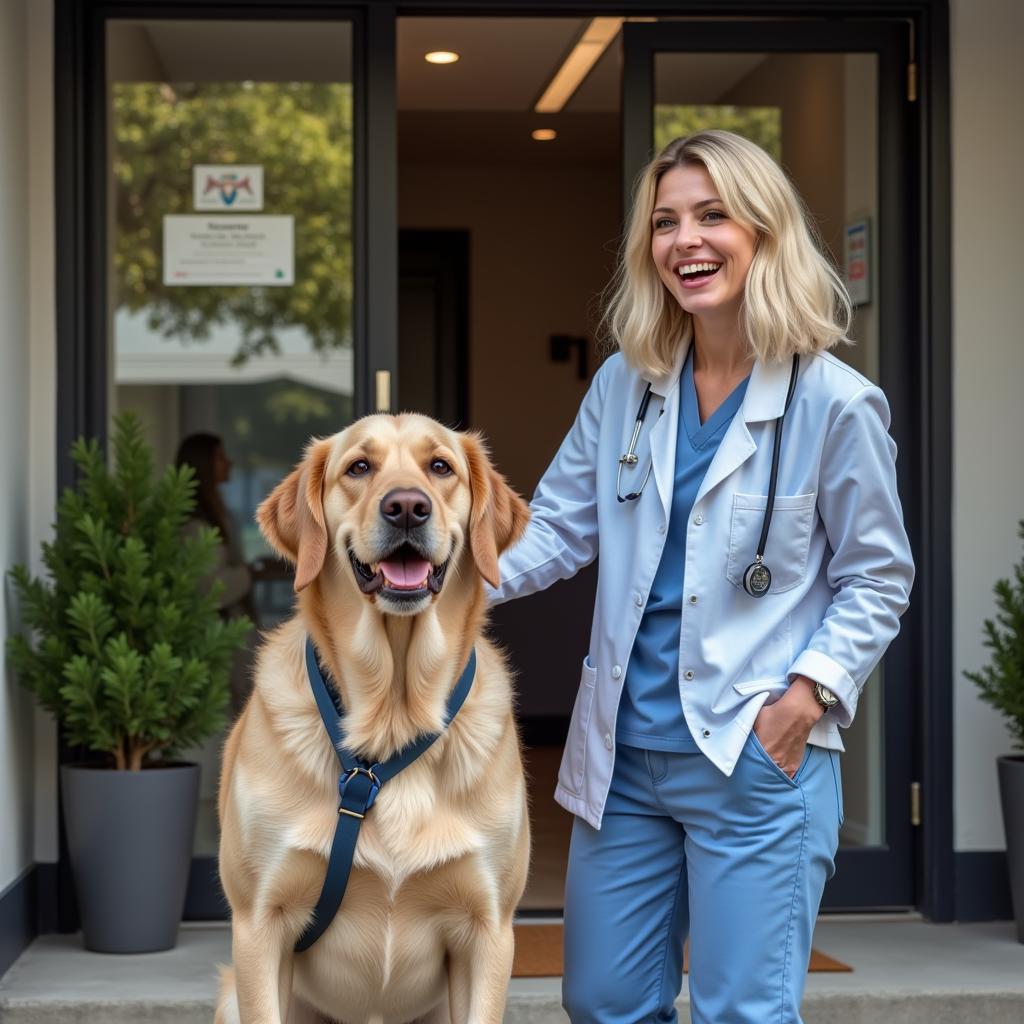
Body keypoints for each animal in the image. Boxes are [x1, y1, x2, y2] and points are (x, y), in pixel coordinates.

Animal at [219, 413, 532, 1024]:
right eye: (359, 467)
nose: (407, 506)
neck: (393, 719)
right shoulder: (259, 925)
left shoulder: (489, 930)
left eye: (441, 467)